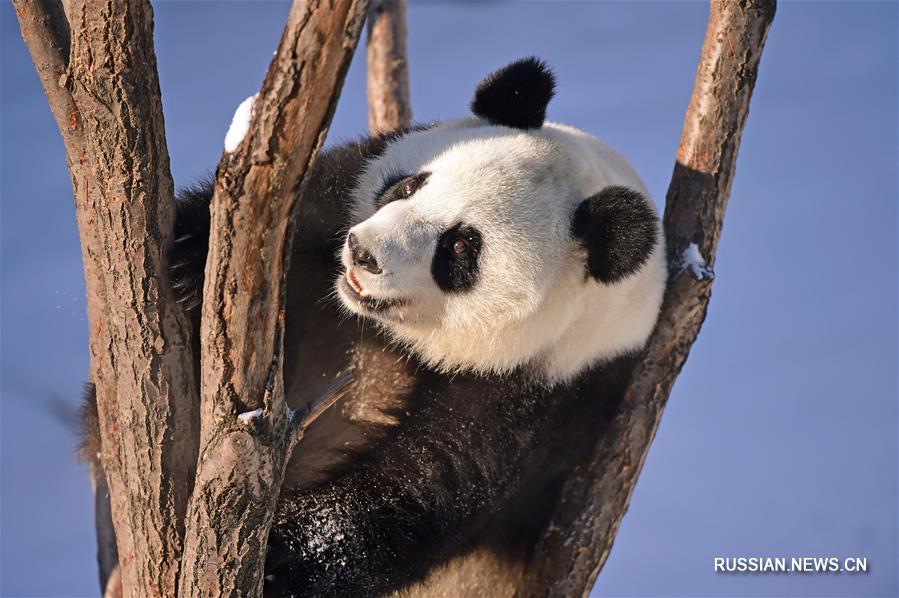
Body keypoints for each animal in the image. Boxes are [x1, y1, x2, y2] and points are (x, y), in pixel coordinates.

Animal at [79, 57, 668, 598]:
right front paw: (189, 264)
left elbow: (425, 483)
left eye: (460, 247)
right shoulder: (340, 194)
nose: (363, 254)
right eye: (409, 186)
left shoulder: (546, 395)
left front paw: (283, 556)